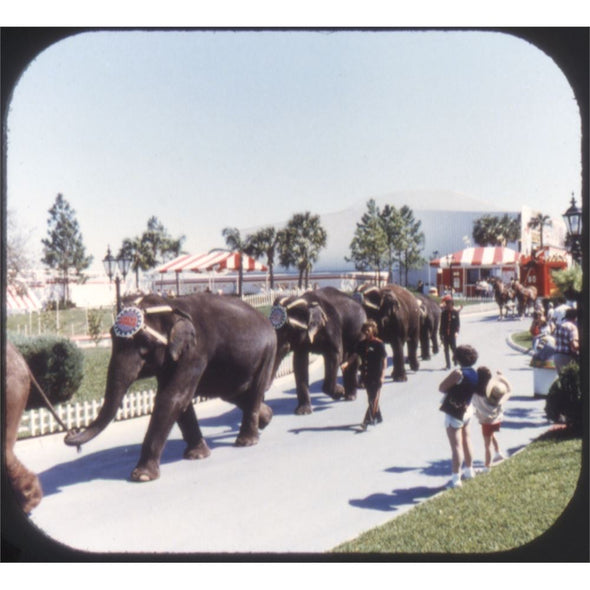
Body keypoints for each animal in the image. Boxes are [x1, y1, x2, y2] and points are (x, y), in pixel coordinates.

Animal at [65, 294, 278, 484]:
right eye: (111, 336)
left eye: (145, 344)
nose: (71, 432)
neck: (173, 305)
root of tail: (266, 321)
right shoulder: (172, 360)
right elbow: (179, 401)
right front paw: (197, 455)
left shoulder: (195, 352)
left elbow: (172, 397)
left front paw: (142, 476)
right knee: (237, 393)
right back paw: (266, 419)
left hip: (267, 352)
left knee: (254, 391)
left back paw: (246, 442)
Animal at [270, 286, 368, 416]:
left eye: (288, 330)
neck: (306, 301)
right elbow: (299, 363)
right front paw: (303, 411)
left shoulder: (332, 326)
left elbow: (335, 355)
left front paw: (339, 391)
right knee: (346, 360)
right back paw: (348, 395)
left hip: (359, 331)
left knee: (353, 359)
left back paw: (350, 396)